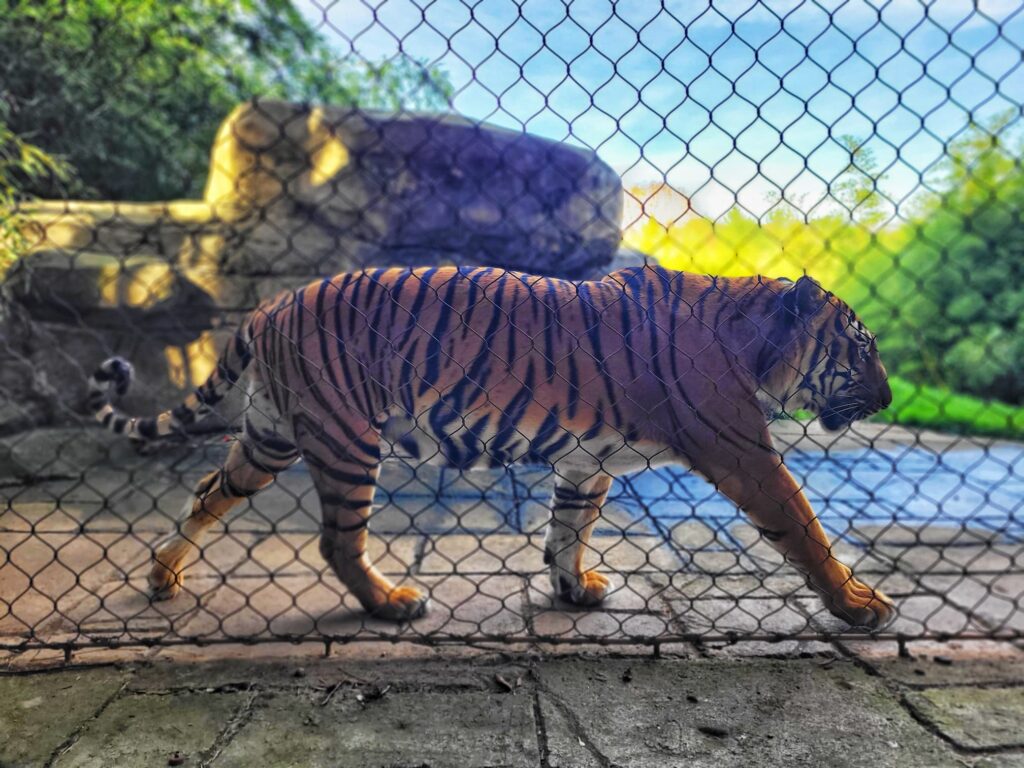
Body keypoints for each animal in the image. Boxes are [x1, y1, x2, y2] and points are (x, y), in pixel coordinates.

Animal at [92, 266, 901, 630]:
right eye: (862, 350)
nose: (893, 398)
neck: (752, 341)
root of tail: (270, 305)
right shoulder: (745, 454)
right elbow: (805, 527)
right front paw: (860, 604)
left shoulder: (587, 461)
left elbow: (568, 530)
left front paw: (574, 590)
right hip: (346, 440)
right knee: (336, 540)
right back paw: (392, 603)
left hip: (270, 437)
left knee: (207, 495)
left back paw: (163, 576)